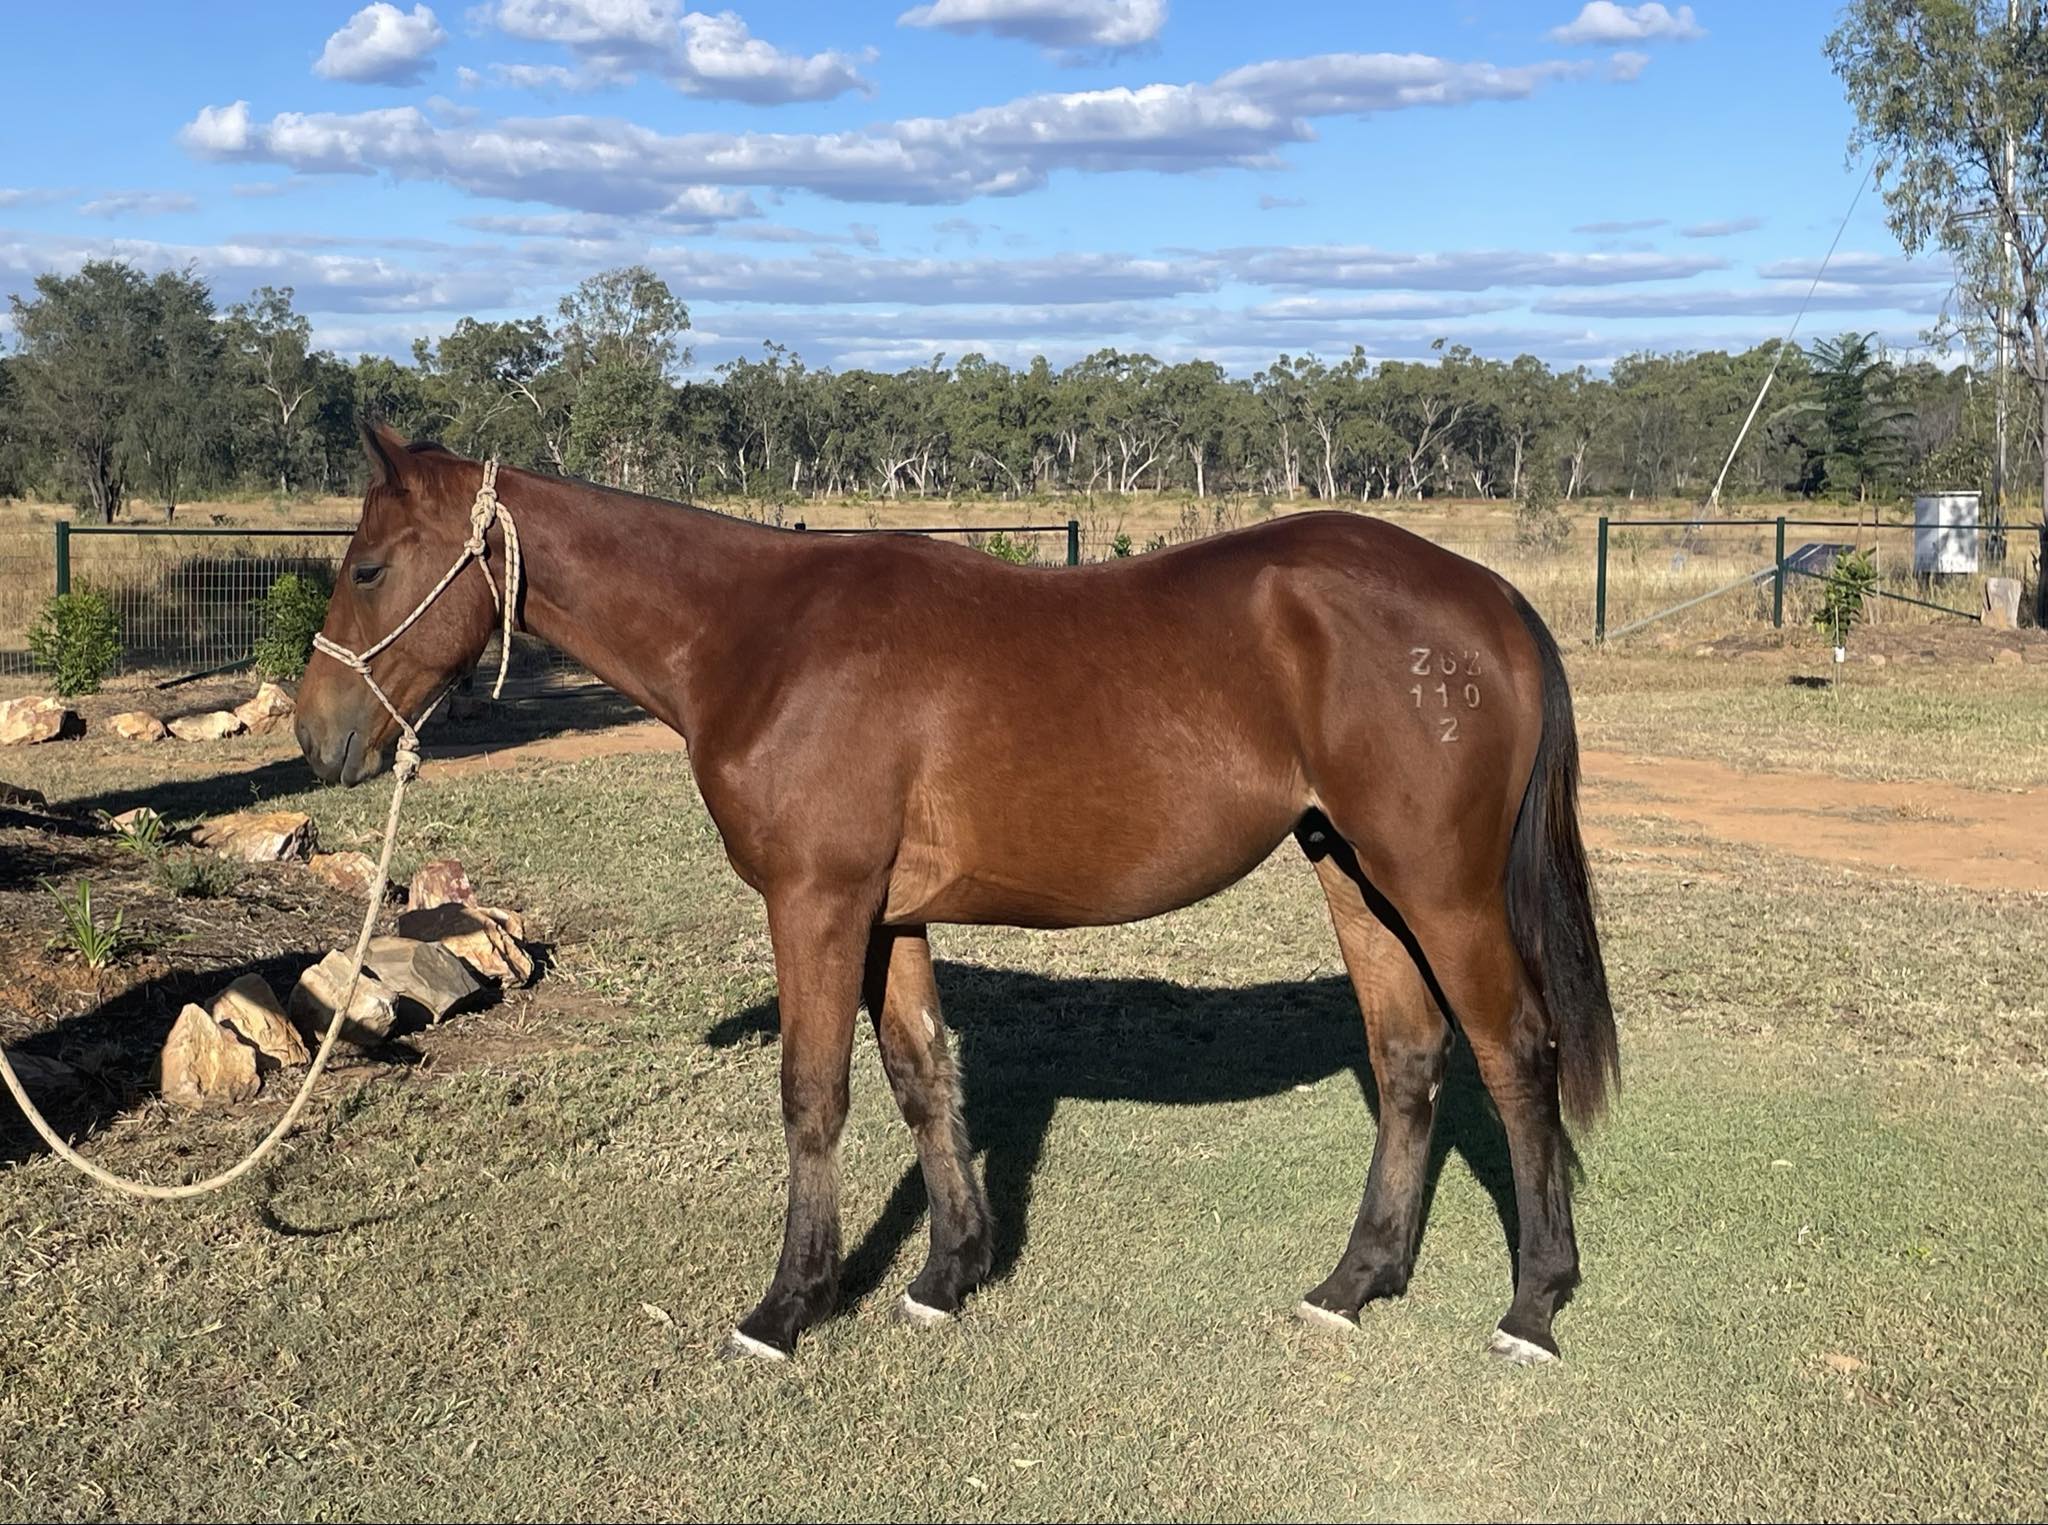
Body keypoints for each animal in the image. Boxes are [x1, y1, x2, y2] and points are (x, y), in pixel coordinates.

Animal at [296, 423, 1619, 1365]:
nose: (316, 739)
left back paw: (1532, 1306)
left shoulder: (817, 903)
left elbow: (814, 1094)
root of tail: (1487, 599)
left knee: (1515, 1055)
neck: (760, 639)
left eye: (367, 566)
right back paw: (1354, 1283)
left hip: (1439, 888)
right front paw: (946, 1275)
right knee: (1406, 1059)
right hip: (1351, 873)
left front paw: (788, 1304)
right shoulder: (890, 914)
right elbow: (922, 1076)